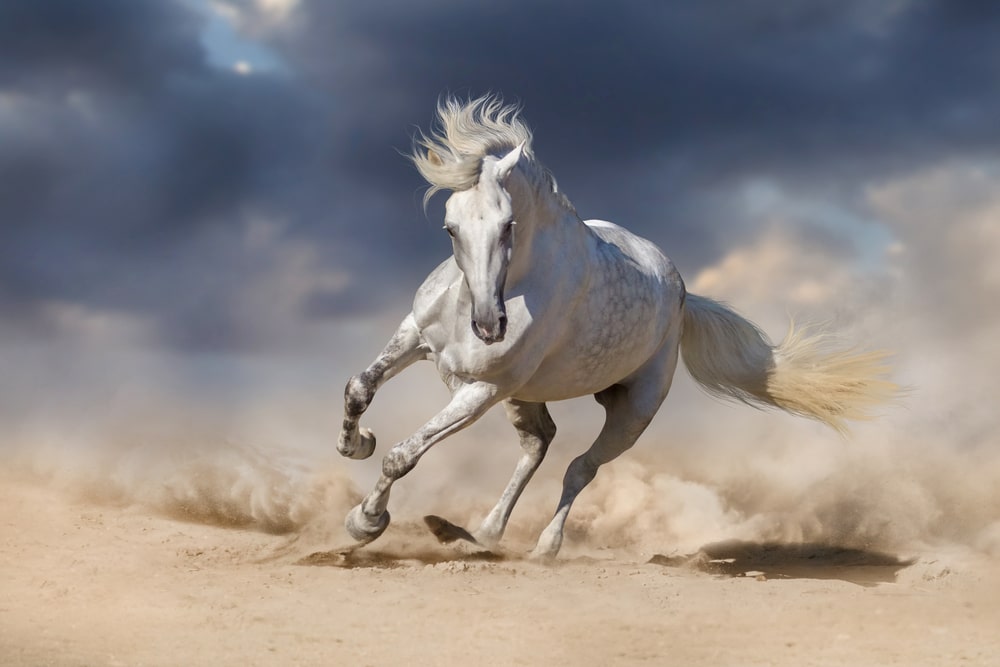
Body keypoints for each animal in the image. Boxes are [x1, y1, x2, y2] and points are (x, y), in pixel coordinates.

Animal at [338, 96, 900, 560]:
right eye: (450, 228)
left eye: (508, 225)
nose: (488, 327)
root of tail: (680, 293)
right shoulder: (417, 337)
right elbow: (360, 388)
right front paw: (355, 444)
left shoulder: (481, 390)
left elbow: (403, 455)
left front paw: (364, 523)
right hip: (528, 394)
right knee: (539, 443)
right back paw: (478, 534)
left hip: (631, 410)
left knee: (578, 466)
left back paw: (540, 547)